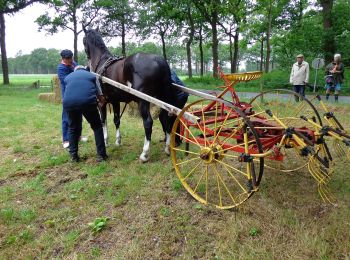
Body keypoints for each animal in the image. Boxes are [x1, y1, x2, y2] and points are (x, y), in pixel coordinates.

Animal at [82, 29, 178, 162]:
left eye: (83, 40)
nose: (87, 58)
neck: (102, 62)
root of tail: (158, 60)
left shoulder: (101, 102)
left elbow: (103, 121)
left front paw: (106, 141)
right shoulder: (115, 101)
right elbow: (116, 120)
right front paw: (118, 141)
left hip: (143, 101)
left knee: (148, 122)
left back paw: (144, 153)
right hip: (163, 98)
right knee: (166, 117)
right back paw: (167, 147)